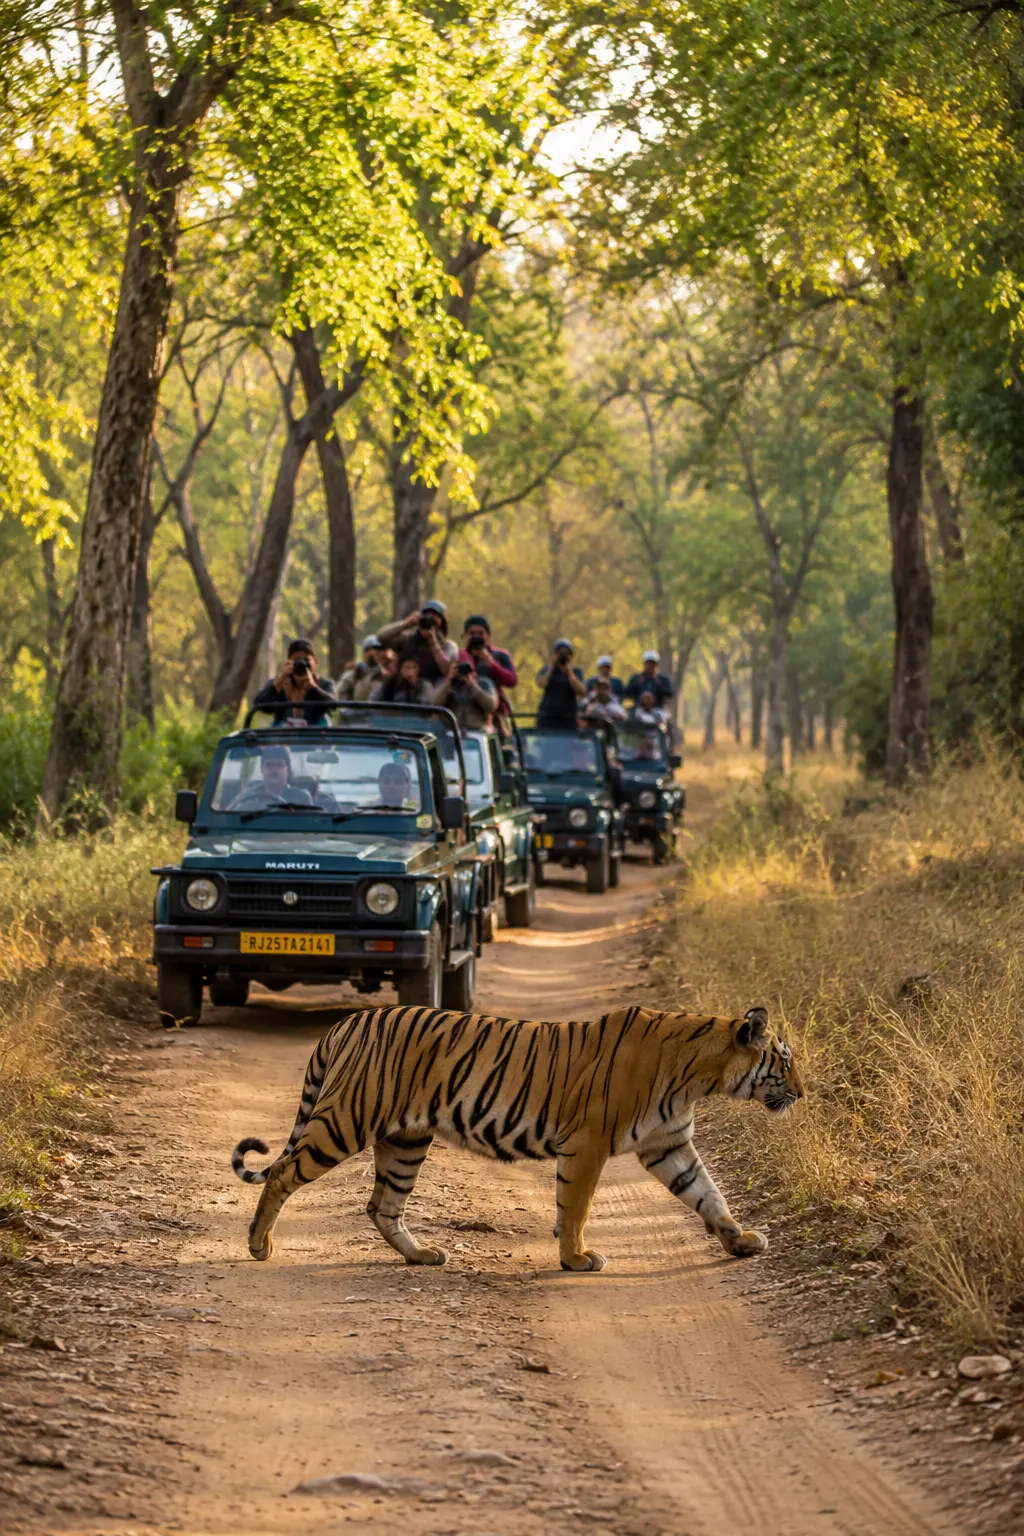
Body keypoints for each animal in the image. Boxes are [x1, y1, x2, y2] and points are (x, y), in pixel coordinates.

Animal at [231, 1002, 803, 1272]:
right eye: (784, 1060)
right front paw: (576, 1259)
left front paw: (741, 1241)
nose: (802, 1092)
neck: (699, 1074)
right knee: (282, 1174)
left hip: (406, 1140)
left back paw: (422, 1256)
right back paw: (259, 1244)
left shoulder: (669, 1145)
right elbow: (575, 1207)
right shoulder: (588, 1143)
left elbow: (709, 1195)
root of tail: (347, 1022)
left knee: (382, 1206)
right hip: (344, 1120)